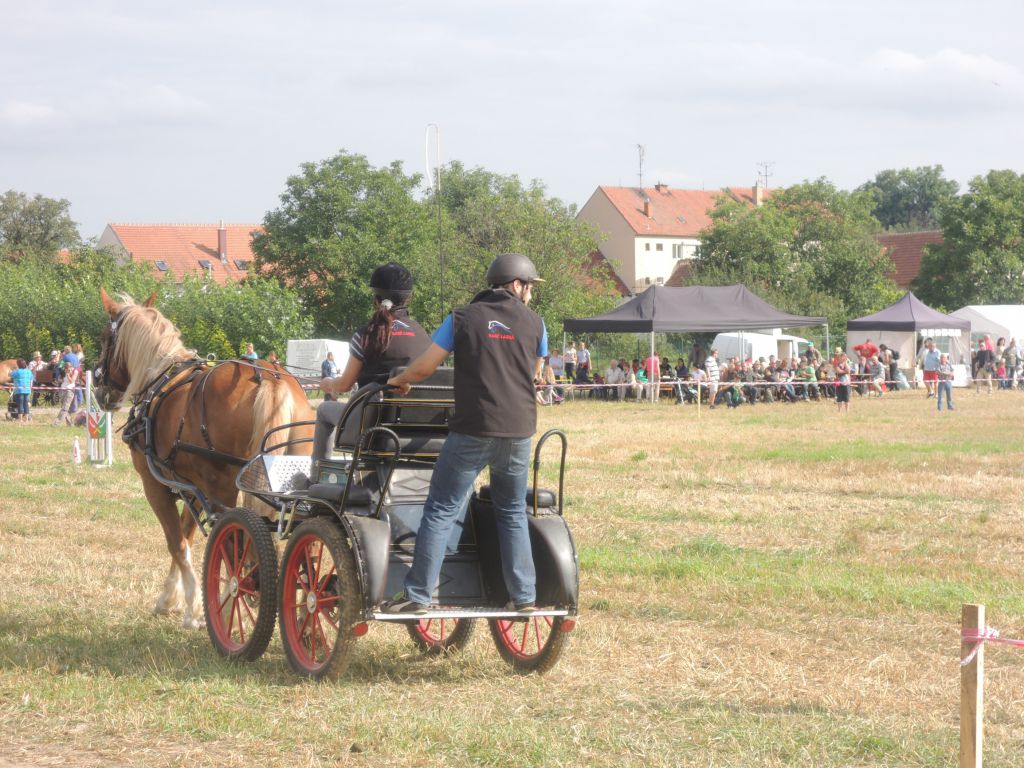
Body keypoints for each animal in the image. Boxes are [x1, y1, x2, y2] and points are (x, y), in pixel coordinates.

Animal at [94, 289, 314, 629]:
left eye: (106, 338)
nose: (98, 386)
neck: (160, 379)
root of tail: (271, 379)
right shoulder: (192, 490)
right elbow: (187, 536)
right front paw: (173, 599)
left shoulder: (156, 487)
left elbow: (177, 543)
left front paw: (192, 610)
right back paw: (304, 609)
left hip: (224, 491)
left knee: (236, 545)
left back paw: (229, 608)